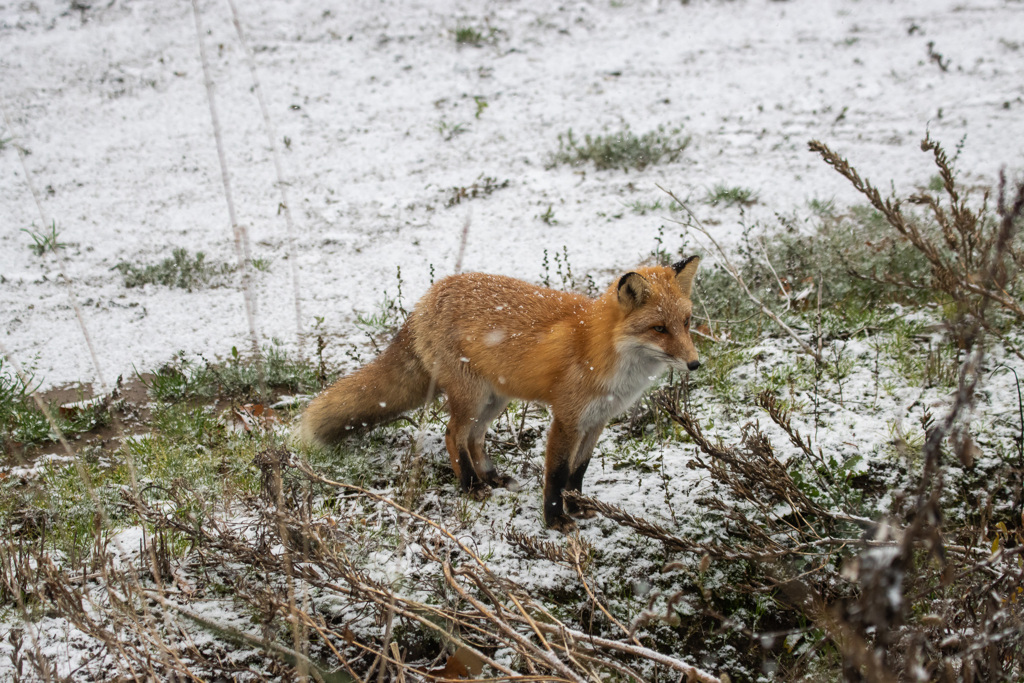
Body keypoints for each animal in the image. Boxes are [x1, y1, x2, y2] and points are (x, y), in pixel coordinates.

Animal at [299, 258, 704, 532]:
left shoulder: (597, 421)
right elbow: (557, 473)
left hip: (495, 401)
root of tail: (428, 296)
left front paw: (577, 506)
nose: (695, 364)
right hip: (472, 397)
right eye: (658, 328)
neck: (600, 347)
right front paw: (555, 519)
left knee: (474, 438)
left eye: (685, 323)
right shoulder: (567, 418)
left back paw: (491, 477)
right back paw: (470, 486)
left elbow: (579, 470)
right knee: (453, 434)